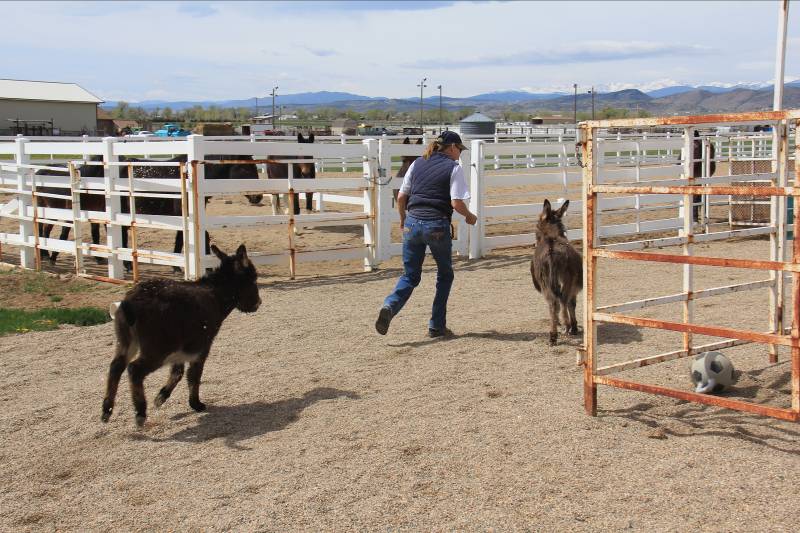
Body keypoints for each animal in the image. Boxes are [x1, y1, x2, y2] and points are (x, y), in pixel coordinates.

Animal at [532, 198, 580, 344]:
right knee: (562, 301)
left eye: (536, 228)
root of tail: (552, 250)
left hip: (547, 283)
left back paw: (554, 334)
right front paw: (573, 327)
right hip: (565, 281)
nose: (533, 244)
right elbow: (571, 304)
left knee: (554, 304)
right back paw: (566, 327)